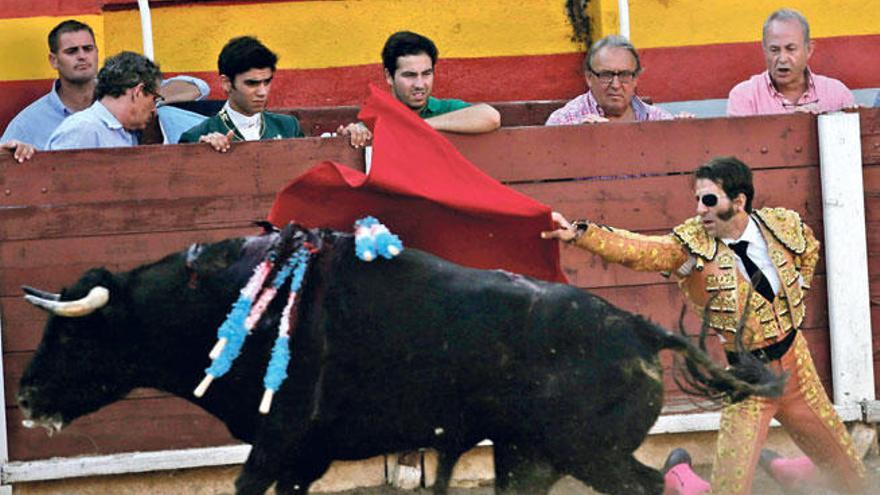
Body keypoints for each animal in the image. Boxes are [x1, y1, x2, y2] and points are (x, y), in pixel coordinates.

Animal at [17, 226, 780, 495]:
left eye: (72, 337)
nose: (24, 396)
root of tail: (638, 328)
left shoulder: (278, 440)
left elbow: (244, 487)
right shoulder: (303, 456)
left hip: (587, 451)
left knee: (647, 484)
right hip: (530, 454)